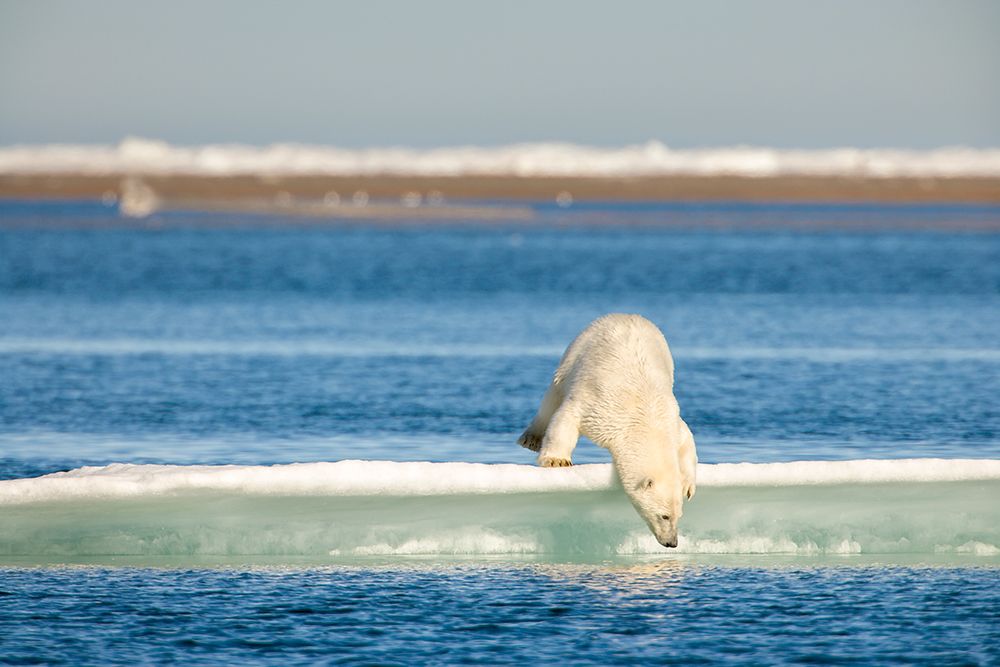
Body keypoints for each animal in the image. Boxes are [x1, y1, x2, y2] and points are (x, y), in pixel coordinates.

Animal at [518, 313, 697, 548]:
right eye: (664, 515)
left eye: (679, 516)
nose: (672, 543)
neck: (645, 418)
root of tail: (625, 315)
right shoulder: (602, 407)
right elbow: (568, 417)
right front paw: (557, 460)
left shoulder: (671, 422)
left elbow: (687, 439)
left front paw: (688, 486)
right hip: (575, 355)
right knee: (552, 397)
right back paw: (530, 438)